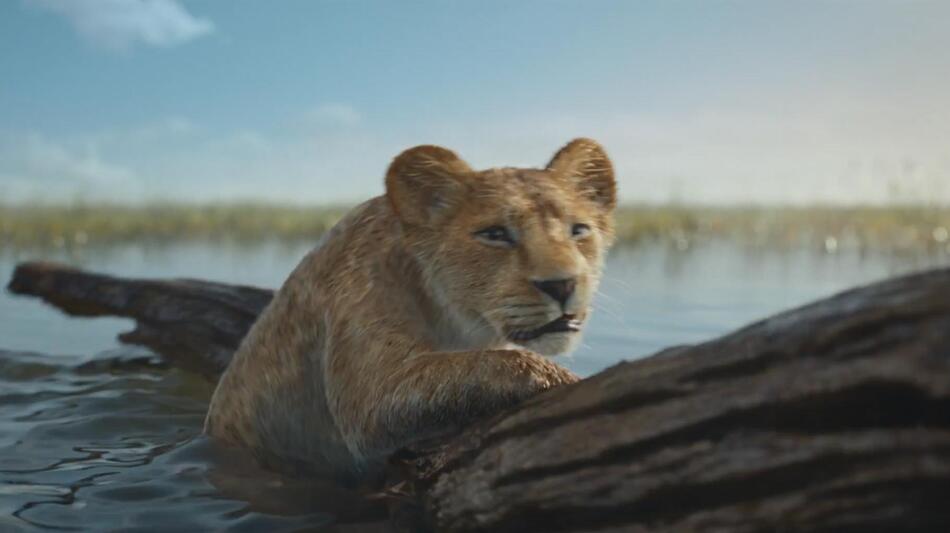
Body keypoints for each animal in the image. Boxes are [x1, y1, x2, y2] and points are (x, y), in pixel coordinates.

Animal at [204, 138, 617, 480]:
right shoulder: (368, 386)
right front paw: (574, 381)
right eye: (495, 234)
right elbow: (501, 363)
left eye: (579, 230)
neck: (457, 322)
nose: (562, 285)